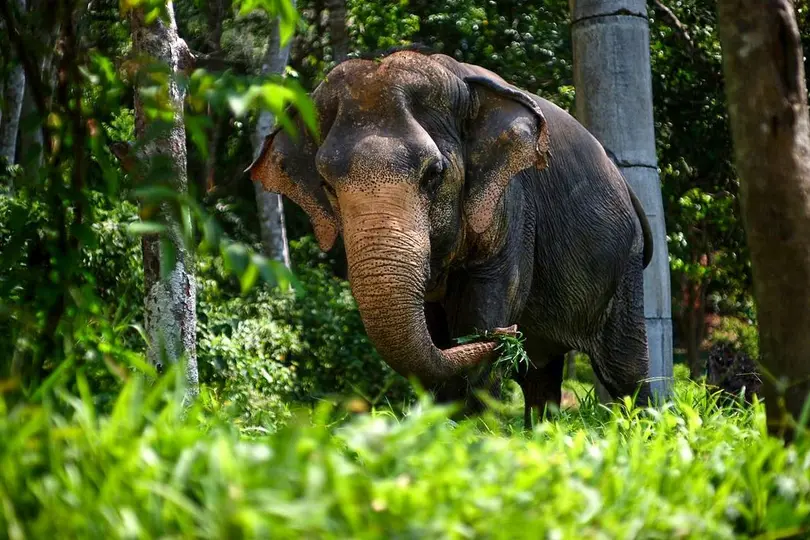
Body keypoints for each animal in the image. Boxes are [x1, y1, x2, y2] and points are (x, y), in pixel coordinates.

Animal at [249, 48, 652, 426]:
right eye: (327, 185)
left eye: (434, 173)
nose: (510, 331)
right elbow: (433, 334)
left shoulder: (513, 204)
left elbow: (484, 303)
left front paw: (474, 429)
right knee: (540, 376)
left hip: (626, 268)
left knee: (626, 371)